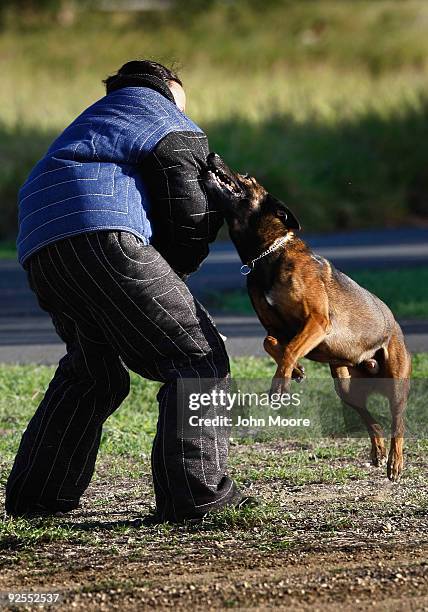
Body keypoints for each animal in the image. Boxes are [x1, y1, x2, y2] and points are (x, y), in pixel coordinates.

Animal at [204, 151, 412, 480]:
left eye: (247, 177)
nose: (213, 155)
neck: (269, 254)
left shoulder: (316, 322)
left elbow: (290, 348)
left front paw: (281, 383)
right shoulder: (276, 328)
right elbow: (271, 343)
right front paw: (297, 371)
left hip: (396, 383)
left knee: (398, 423)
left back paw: (395, 462)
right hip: (346, 388)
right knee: (371, 418)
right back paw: (377, 450)